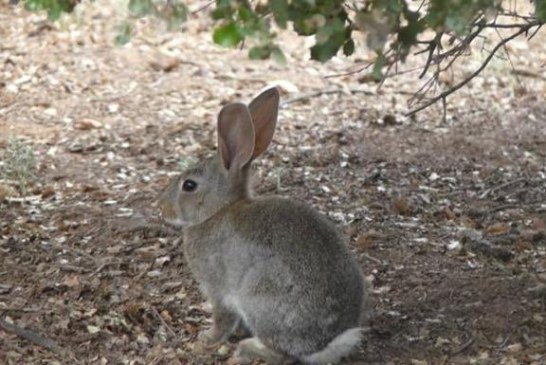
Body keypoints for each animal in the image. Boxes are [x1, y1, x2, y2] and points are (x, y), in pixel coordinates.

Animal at [159, 88, 368, 364]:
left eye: (189, 185)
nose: (162, 208)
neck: (217, 211)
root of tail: (326, 343)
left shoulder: (217, 288)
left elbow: (222, 318)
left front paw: (206, 339)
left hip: (259, 297)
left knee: (282, 354)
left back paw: (247, 348)